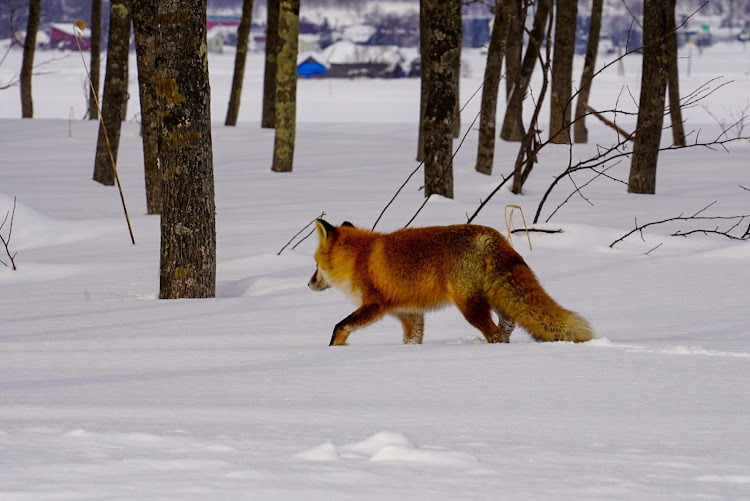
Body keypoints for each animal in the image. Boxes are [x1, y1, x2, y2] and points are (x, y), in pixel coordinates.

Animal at [308, 219, 596, 344]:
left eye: (315, 265)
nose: (309, 284)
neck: (360, 258)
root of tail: (491, 235)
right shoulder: (410, 314)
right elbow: (412, 341)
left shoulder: (374, 305)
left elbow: (340, 326)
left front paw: (335, 349)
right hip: (495, 298)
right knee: (508, 323)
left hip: (468, 304)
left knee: (494, 332)